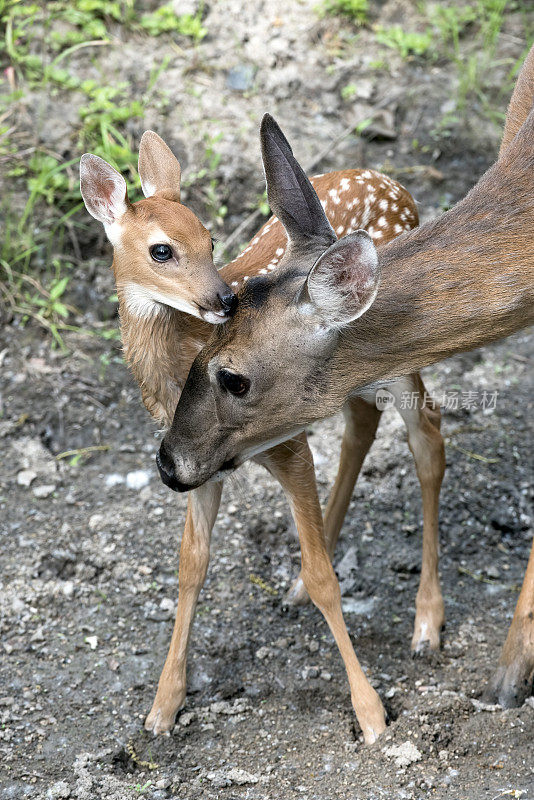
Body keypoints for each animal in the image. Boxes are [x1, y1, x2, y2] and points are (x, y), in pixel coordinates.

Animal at [79, 131, 446, 744]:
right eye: (162, 250)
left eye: (208, 237)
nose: (224, 300)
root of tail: (395, 184)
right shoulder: (193, 461)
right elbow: (191, 565)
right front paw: (162, 708)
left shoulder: (286, 446)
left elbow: (324, 578)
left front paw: (371, 715)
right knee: (363, 423)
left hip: (398, 351)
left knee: (429, 441)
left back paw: (426, 623)